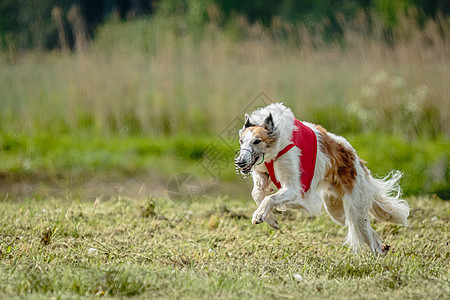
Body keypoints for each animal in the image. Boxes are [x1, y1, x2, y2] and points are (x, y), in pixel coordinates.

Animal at [237, 103, 410, 255]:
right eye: (241, 141)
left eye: (257, 141)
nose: (240, 162)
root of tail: (357, 160)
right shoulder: (262, 174)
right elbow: (257, 193)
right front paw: (270, 218)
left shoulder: (295, 189)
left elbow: (269, 198)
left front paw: (260, 215)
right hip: (336, 209)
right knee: (370, 233)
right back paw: (383, 249)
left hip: (355, 207)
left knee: (368, 234)